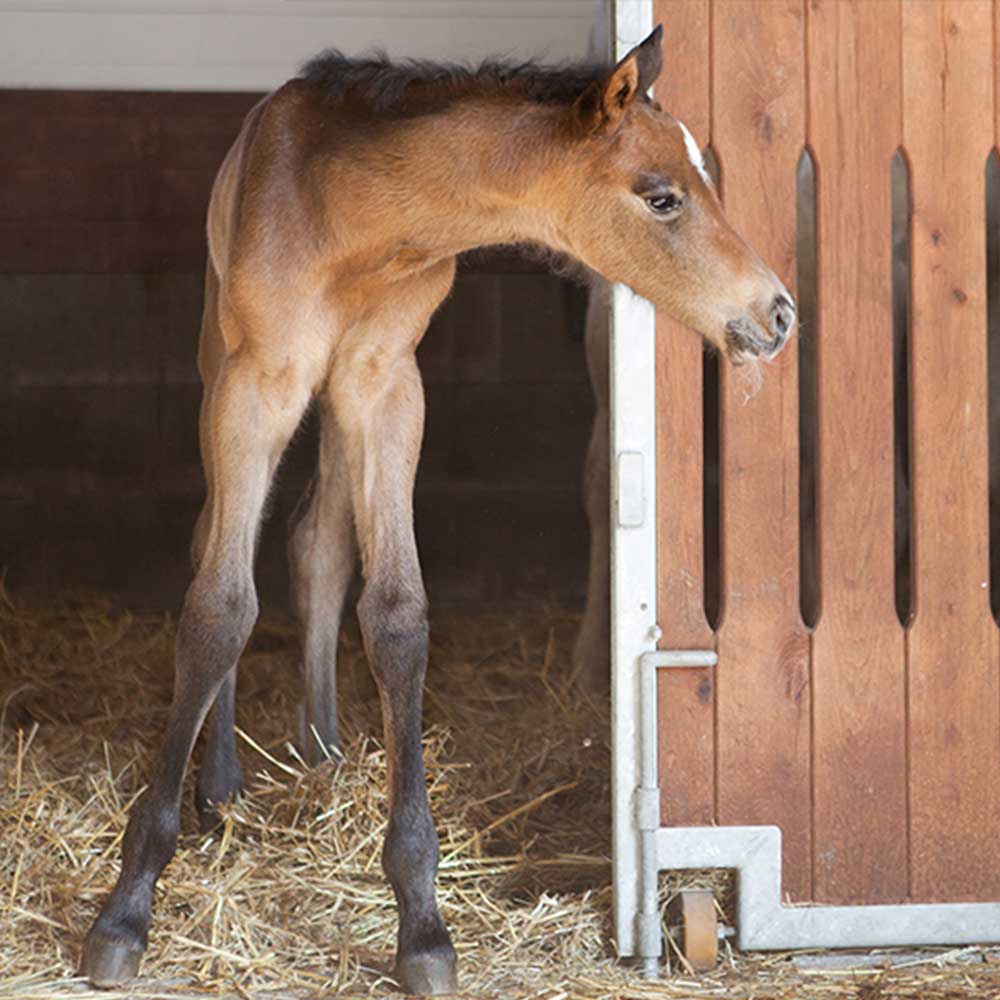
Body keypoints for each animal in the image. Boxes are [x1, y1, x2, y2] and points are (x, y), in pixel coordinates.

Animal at [80, 27, 796, 996]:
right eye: (662, 197)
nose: (777, 313)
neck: (355, 223)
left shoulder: (387, 383)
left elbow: (395, 615)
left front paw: (421, 921)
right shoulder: (257, 383)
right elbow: (219, 607)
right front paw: (127, 909)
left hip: (337, 399)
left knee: (316, 545)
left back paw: (322, 750)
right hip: (217, 363)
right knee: (216, 546)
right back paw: (222, 783)